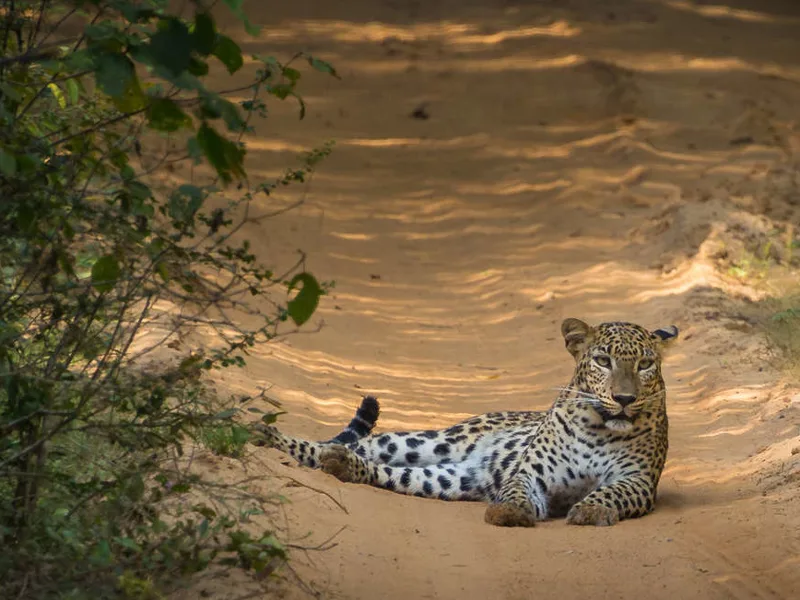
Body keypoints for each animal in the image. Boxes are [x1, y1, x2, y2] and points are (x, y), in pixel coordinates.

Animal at [255, 318, 679, 527]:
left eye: (645, 365)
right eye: (603, 361)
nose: (625, 400)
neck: (599, 427)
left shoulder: (638, 480)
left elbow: (610, 492)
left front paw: (591, 510)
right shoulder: (531, 473)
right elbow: (517, 491)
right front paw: (509, 512)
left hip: (451, 478)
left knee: (385, 471)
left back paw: (342, 465)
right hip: (427, 441)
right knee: (345, 444)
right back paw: (265, 435)